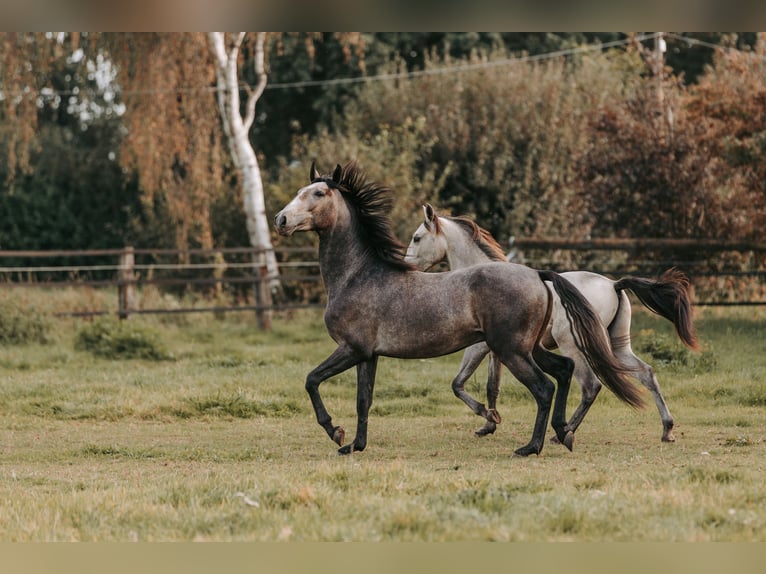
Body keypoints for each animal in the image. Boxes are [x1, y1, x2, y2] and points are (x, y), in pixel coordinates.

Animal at [272, 162, 644, 460]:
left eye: (318, 193)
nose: (281, 220)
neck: (357, 275)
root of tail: (538, 274)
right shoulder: (368, 355)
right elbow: (364, 400)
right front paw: (354, 445)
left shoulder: (351, 348)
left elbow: (312, 380)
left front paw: (336, 432)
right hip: (531, 347)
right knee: (565, 371)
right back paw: (564, 433)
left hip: (512, 349)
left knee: (545, 388)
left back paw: (531, 447)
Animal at [408, 205, 704, 444]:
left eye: (417, 237)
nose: (406, 265)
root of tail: (614, 284)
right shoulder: (497, 351)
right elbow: (493, 386)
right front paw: (489, 424)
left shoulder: (480, 346)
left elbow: (458, 384)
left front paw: (487, 417)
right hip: (617, 347)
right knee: (647, 374)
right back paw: (667, 429)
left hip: (574, 346)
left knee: (591, 386)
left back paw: (563, 432)